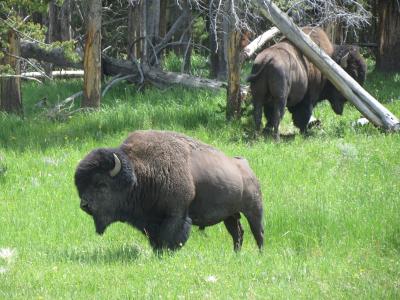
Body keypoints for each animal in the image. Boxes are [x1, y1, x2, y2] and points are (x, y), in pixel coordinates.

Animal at [75, 130, 264, 252]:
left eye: (101, 184)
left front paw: (167, 252)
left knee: (258, 231)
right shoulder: (151, 220)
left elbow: (170, 236)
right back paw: (236, 254)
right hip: (229, 215)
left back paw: (260, 254)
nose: (84, 205)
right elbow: (156, 238)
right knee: (237, 233)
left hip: (253, 209)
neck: (141, 172)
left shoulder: (176, 214)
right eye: (81, 186)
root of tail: (245, 165)